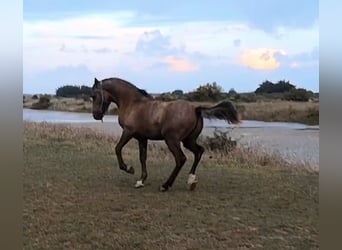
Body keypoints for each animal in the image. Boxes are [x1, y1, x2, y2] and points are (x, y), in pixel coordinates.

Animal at [91, 77, 240, 190]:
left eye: (94, 95)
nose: (96, 115)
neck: (133, 104)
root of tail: (195, 108)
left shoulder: (128, 132)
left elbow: (117, 148)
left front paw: (128, 168)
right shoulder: (142, 138)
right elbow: (142, 157)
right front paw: (141, 181)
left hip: (172, 140)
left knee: (181, 159)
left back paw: (166, 185)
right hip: (188, 140)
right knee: (199, 151)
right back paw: (191, 180)